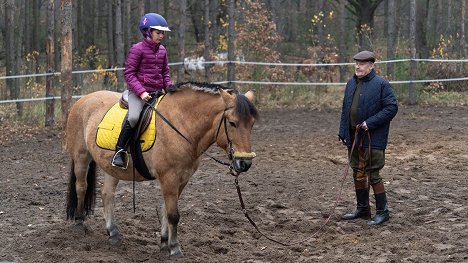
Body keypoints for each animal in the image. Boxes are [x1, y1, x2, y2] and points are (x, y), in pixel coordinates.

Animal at [64, 81, 258, 258]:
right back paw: (79, 223)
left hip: (112, 168)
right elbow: (173, 214)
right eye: (232, 123)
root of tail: (83, 100)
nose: (245, 163)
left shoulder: (182, 179)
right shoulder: (169, 177)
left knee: (107, 194)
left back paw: (113, 232)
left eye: (251, 124)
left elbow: (166, 210)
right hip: (81, 157)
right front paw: (174, 248)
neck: (181, 124)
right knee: (81, 187)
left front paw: (164, 244)